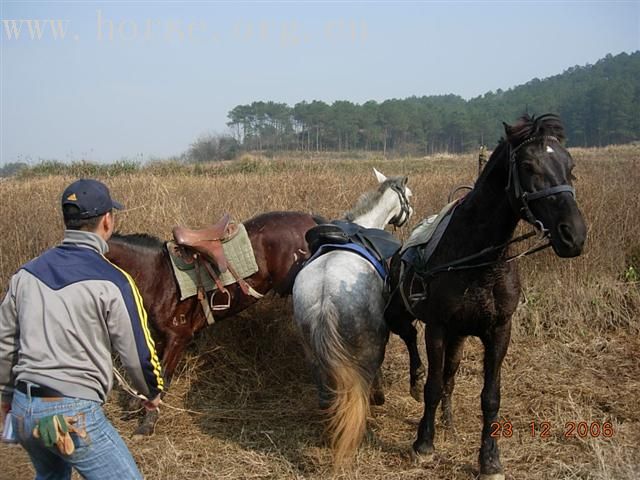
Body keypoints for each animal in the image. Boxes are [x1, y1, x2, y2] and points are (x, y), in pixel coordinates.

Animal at [107, 210, 322, 436]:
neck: (157, 275)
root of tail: (311, 220)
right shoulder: (158, 337)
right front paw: (135, 406)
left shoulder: (178, 337)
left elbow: (163, 377)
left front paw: (147, 423)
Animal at [292, 170, 412, 464]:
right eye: (409, 196)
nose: (411, 211)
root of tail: (325, 297)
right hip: (370, 345)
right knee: (366, 378)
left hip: (310, 349)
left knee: (325, 392)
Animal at [382, 115, 588, 480]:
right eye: (528, 165)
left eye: (570, 166)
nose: (573, 235)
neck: (480, 261)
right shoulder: (436, 327)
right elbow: (432, 385)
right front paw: (423, 444)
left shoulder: (499, 330)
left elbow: (489, 396)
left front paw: (489, 459)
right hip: (401, 314)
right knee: (409, 339)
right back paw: (415, 381)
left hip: (459, 336)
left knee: (450, 373)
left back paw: (447, 419)